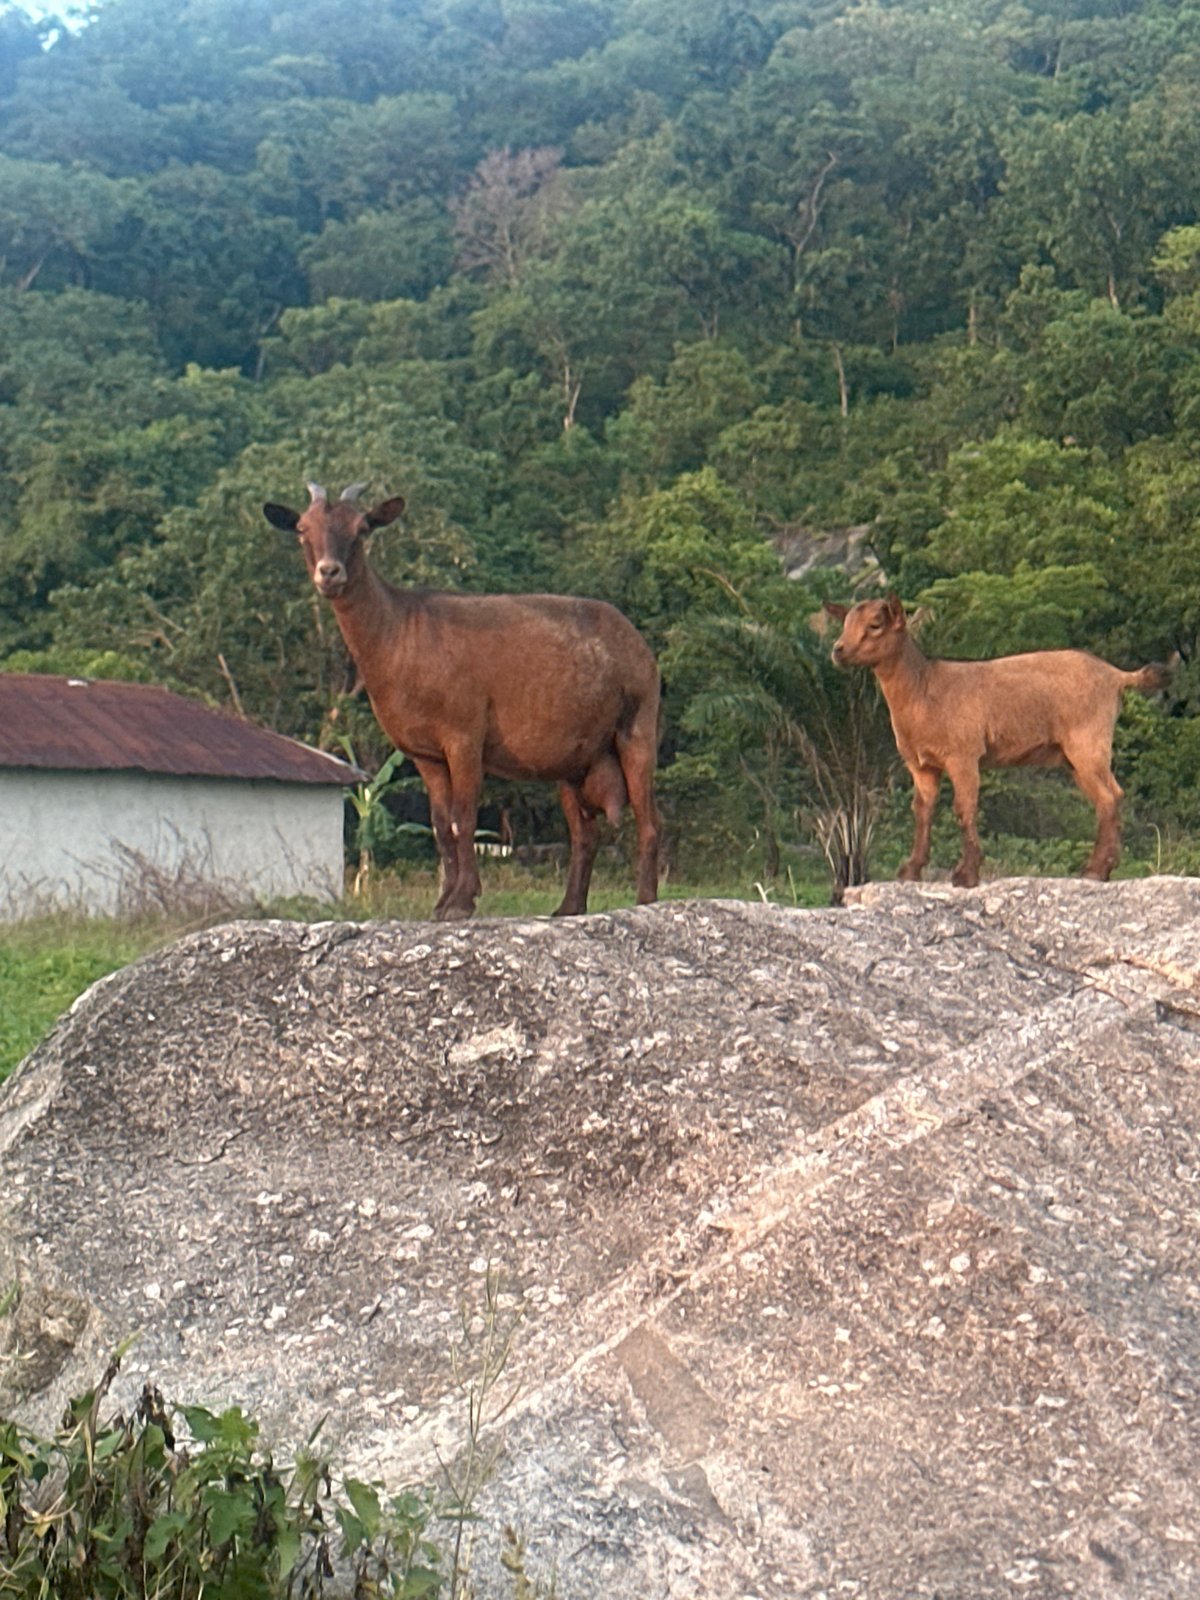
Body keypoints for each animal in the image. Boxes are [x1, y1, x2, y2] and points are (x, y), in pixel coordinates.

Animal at [264, 482, 661, 919]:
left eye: (362, 528)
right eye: (303, 528)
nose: (329, 572)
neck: (399, 632)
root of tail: (638, 643)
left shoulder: (464, 735)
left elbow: (464, 816)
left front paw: (462, 901)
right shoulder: (425, 753)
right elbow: (441, 823)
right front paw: (442, 902)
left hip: (638, 725)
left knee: (649, 820)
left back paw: (645, 899)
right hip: (574, 760)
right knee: (585, 831)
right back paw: (568, 907)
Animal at [825, 594, 1168, 887]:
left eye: (875, 625)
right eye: (845, 623)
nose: (838, 650)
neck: (924, 688)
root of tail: (1115, 675)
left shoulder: (963, 755)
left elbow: (964, 809)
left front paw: (966, 874)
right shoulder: (920, 765)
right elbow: (922, 811)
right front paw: (911, 870)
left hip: (1088, 740)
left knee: (1109, 797)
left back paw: (1096, 870)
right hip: (1074, 755)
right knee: (1109, 796)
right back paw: (1102, 868)